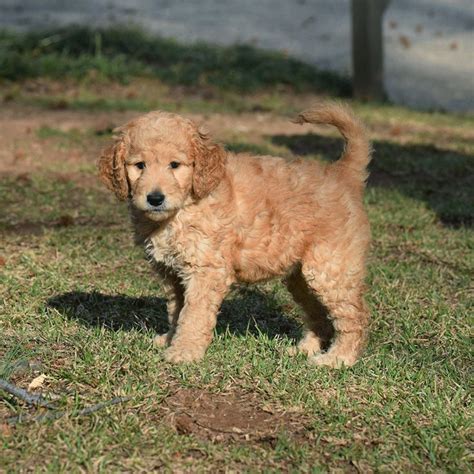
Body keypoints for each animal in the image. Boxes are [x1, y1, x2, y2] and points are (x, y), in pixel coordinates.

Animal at [98, 103, 372, 366]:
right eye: (139, 166)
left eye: (174, 165)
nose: (155, 198)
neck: (184, 208)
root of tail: (340, 172)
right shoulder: (171, 272)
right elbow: (176, 309)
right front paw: (170, 339)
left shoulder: (206, 270)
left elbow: (193, 314)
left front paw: (184, 352)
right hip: (301, 276)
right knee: (318, 313)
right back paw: (305, 349)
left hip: (330, 268)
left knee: (354, 317)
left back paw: (338, 359)